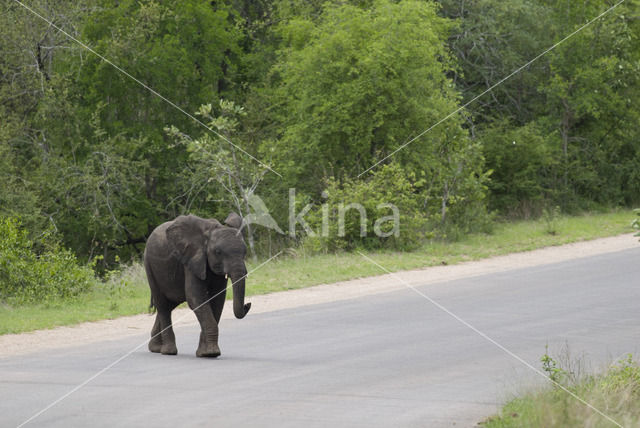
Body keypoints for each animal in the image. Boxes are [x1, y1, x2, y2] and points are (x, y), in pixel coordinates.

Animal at [144, 213, 251, 358]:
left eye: (245, 252)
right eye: (218, 252)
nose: (247, 305)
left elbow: (217, 300)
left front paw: (205, 353)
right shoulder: (192, 259)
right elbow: (196, 298)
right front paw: (211, 353)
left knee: (170, 304)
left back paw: (155, 348)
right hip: (150, 266)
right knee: (163, 305)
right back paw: (168, 351)